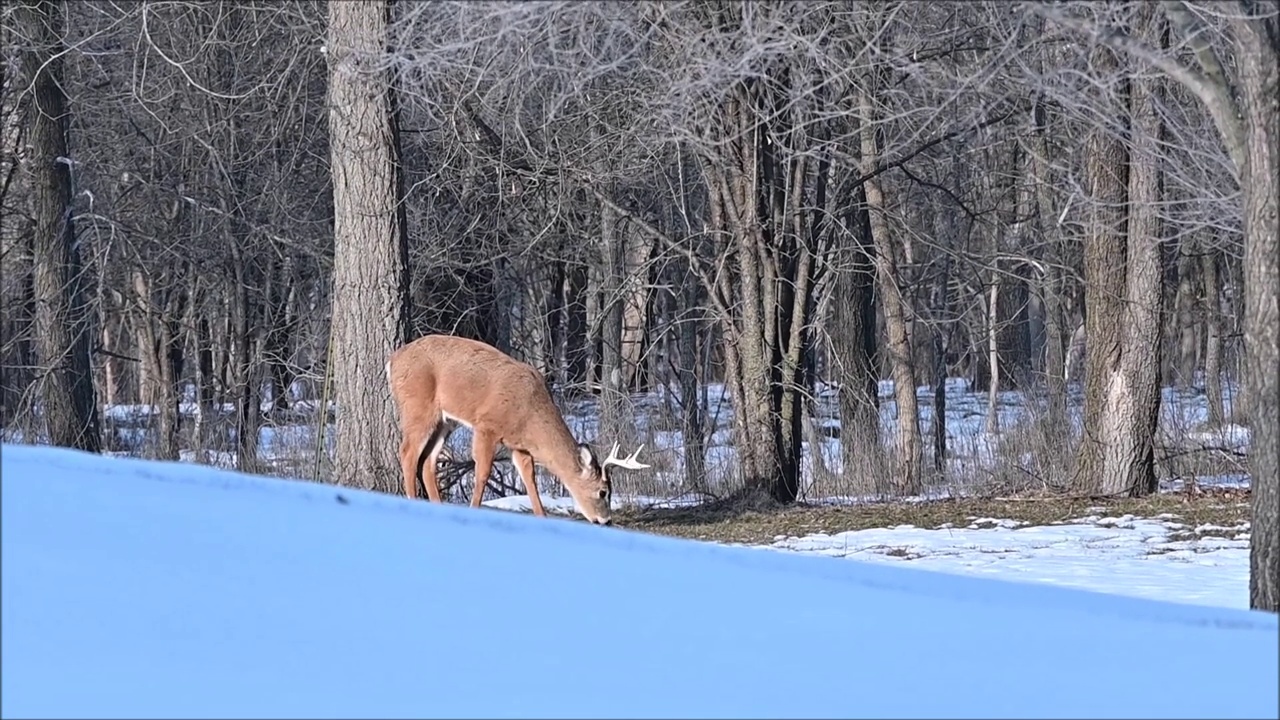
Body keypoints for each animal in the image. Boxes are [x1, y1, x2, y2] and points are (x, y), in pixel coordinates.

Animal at [384, 333, 650, 525]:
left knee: (428, 461)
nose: (606, 521)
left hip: (445, 421)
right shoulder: (487, 426)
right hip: (418, 406)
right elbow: (482, 473)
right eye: (603, 491)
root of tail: (392, 360)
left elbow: (529, 478)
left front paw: (542, 516)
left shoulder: (519, 445)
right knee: (407, 452)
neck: (529, 413)